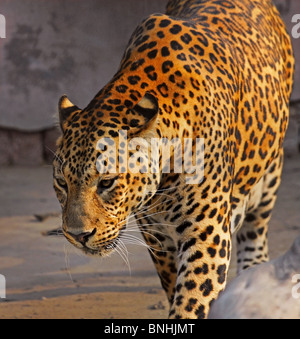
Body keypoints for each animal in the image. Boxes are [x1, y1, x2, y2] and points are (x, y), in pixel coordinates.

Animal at [52, 0, 294, 318]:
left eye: (106, 183)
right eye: (61, 184)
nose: (78, 235)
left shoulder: (208, 233)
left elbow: (191, 301)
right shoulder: (157, 237)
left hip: (268, 175)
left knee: (255, 233)